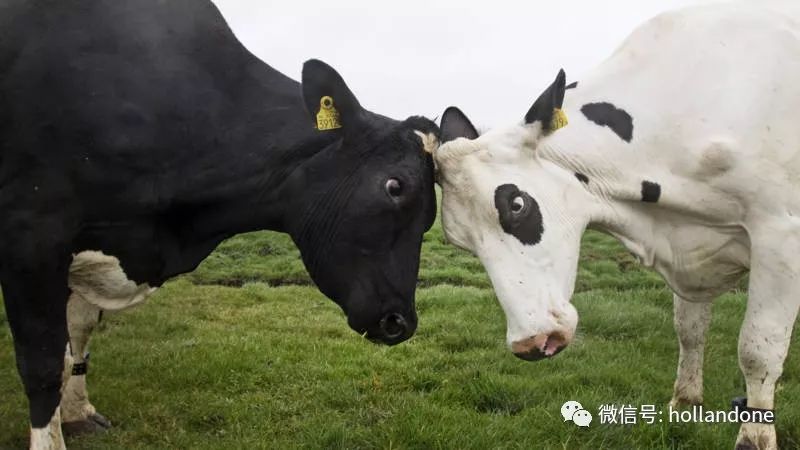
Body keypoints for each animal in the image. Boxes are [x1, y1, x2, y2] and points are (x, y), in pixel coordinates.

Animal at [0, 0, 438, 444]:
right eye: (395, 186)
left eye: (431, 215)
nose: (400, 322)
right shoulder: (31, 234)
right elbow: (43, 363)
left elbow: (78, 334)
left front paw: (77, 413)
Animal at [434, 1, 800, 448]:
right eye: (461, 241)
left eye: (517, 204)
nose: (531, 342)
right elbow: (689, 328)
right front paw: (685, 403)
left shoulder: (780, 234)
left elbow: (758, 348)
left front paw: (754, 436)